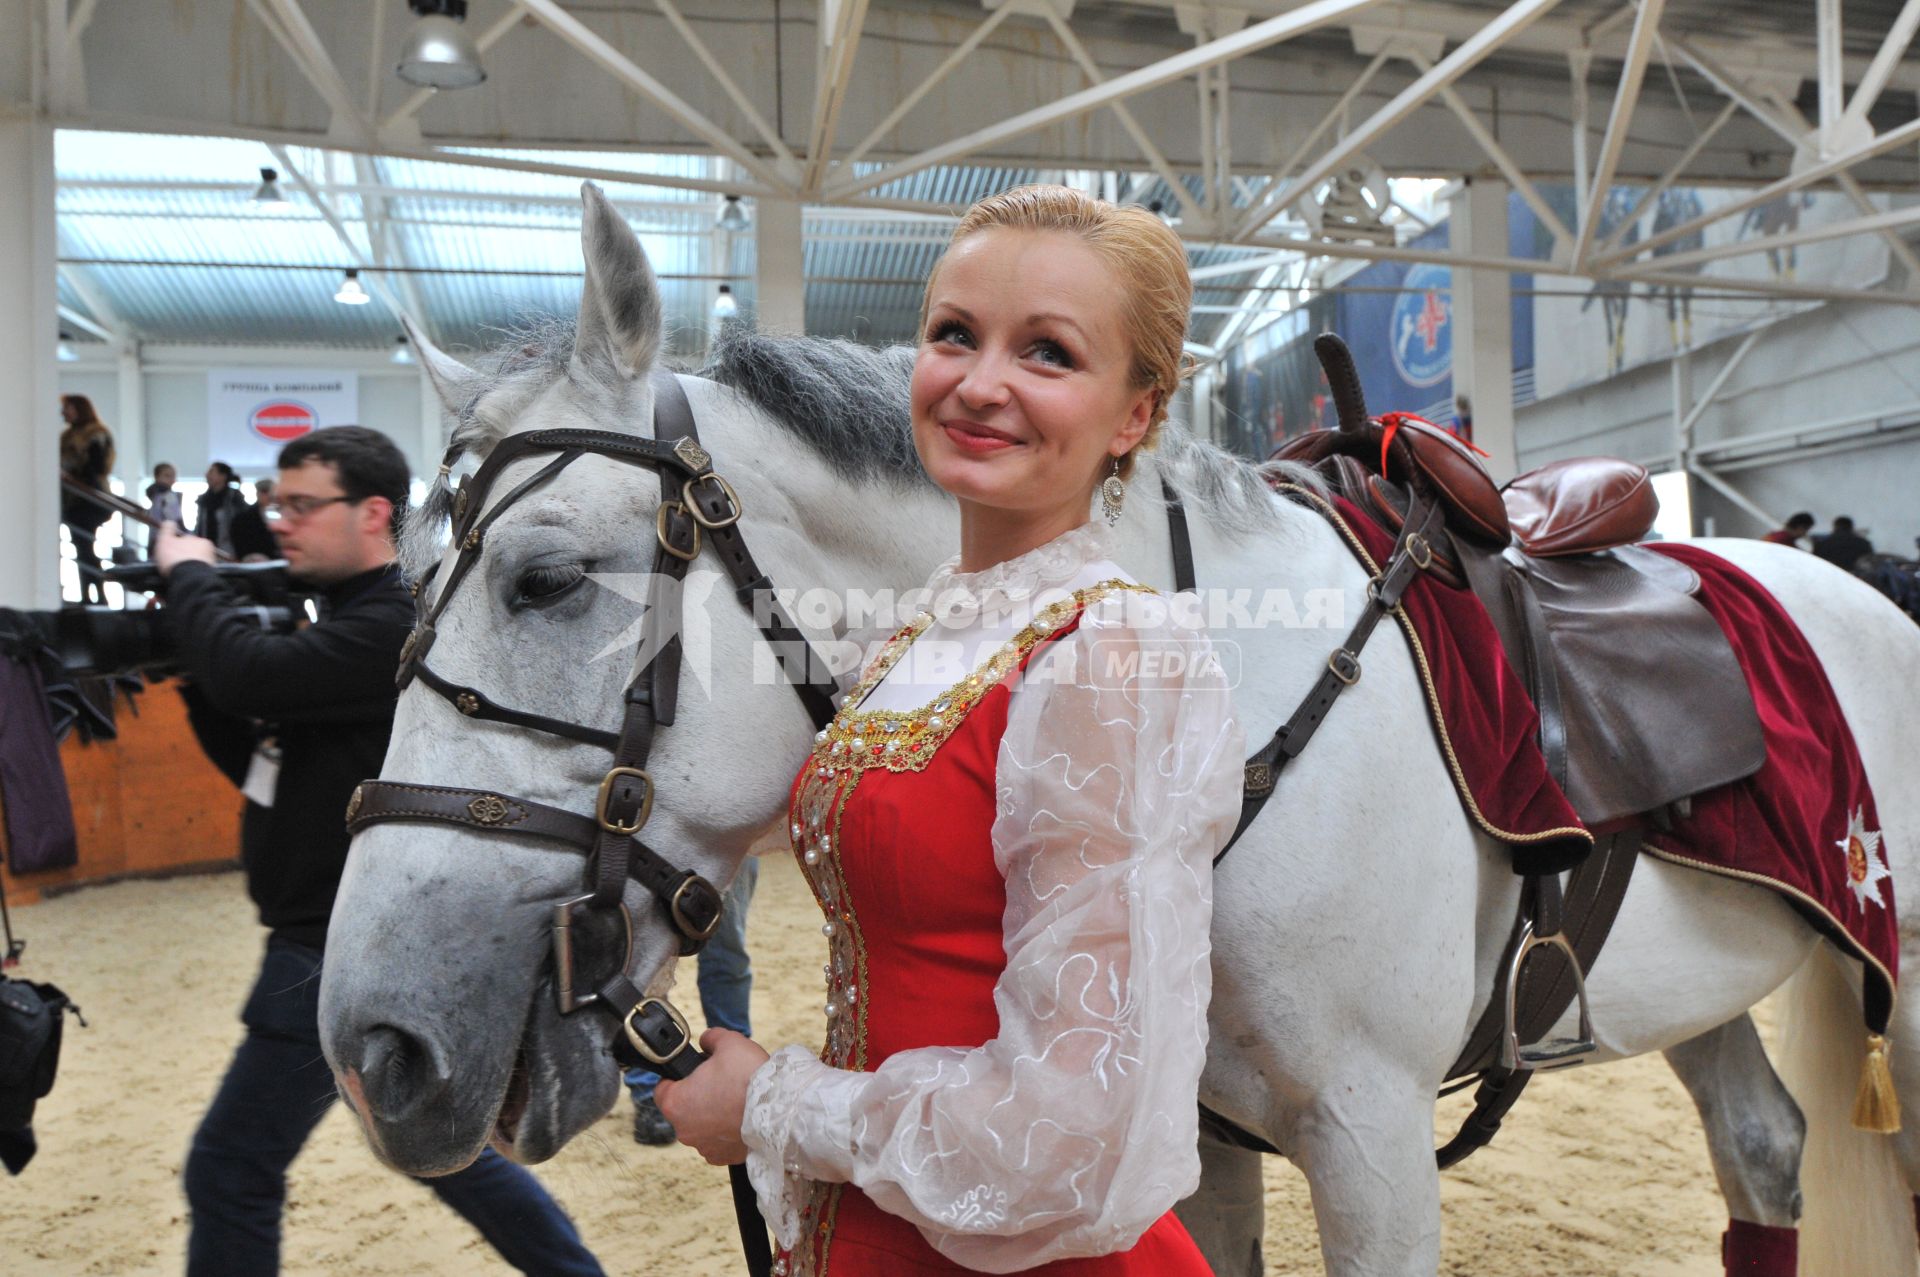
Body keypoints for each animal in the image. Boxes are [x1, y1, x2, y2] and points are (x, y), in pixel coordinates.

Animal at [322, 184, 1920, 1267]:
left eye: (544, 580)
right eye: (403, 586)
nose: (376, 1047)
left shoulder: (1372, 1136)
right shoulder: (1186, 1133)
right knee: (1765, 1153)